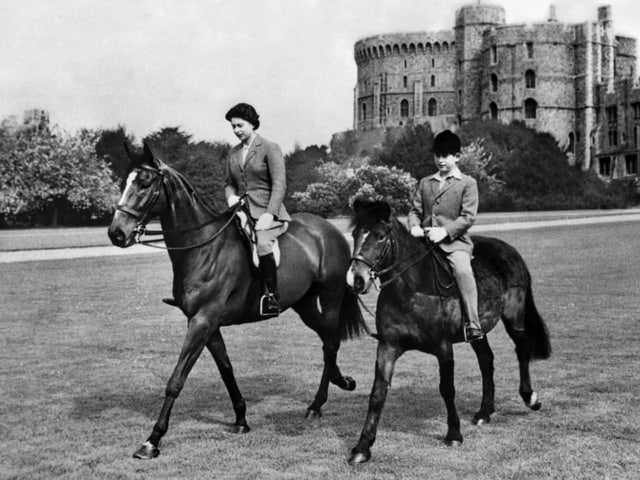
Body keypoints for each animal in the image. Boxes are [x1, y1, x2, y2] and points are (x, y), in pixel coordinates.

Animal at [107, 143, 362, 462]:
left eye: (144, 183)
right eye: (124, 182)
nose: (116, 233)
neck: (204, 246)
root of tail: (329, 230)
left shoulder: (202, 322)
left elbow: (176, 380)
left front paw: (152, 440)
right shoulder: (208, 324)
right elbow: (226, 370)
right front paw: (241, 419)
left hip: (330, 299)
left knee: (330, 343)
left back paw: (317, 405)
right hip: (303, 304)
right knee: (327, 340)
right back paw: (341, 382)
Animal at [344, 200, 552, 464]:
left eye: (380, 236)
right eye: (355, 234)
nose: (356, 279)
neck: (411, 289)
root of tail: (509, 250)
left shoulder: (443, 347)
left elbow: (447, 389)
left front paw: (454, 434)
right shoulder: (388, 346)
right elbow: (378, 392)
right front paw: (363, 447)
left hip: (514, 317)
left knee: (522, 350)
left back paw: (530, 398)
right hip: (477, 330)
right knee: (486, 360)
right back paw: (485, 412)